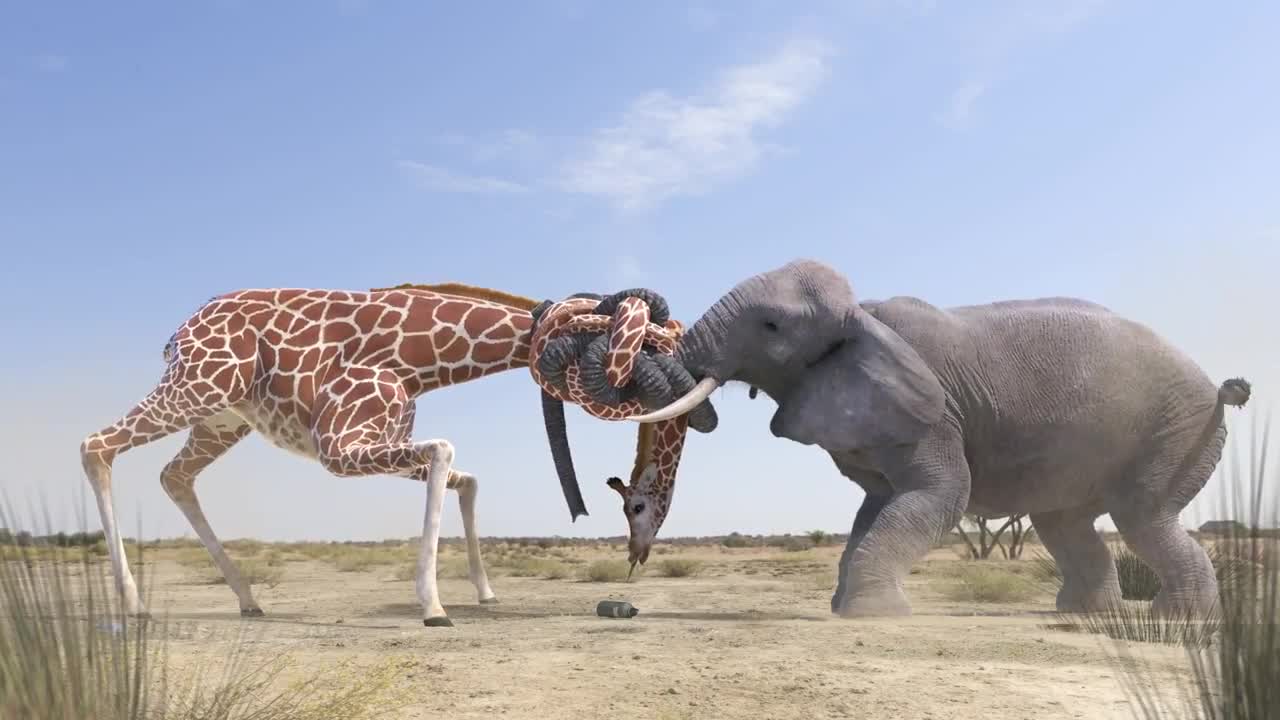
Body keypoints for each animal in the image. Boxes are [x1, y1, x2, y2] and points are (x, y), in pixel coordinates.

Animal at [78, 283, 675, 625]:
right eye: (635, 338)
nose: (674, 357)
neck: (421, 361)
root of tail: (177, 336)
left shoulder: (373, 440)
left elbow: (466, 477)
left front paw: (483, 593)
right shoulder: (338, 448)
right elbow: (446, 451)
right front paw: (434, 607)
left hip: (222, 418)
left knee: (174, 476)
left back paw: (249, 600)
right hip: (196, 388)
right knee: (96, 446)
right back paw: (134, 604)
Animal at [627, 257, 1249, 617]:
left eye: (772, 327)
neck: (863, 315)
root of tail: (1216, 386)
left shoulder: (935, 411)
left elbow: (939, 496)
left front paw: (873, 614)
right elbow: (874, 507)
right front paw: (845, 607)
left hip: (1176, 431)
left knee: (1141, 517)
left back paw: (1177, 620)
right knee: (1065, 523)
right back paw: (1084, 614)